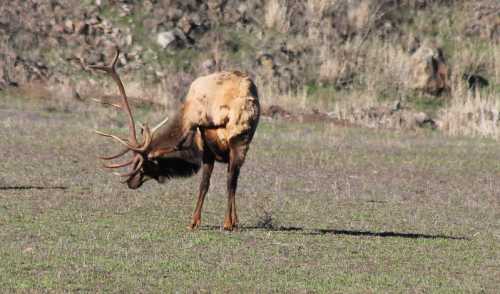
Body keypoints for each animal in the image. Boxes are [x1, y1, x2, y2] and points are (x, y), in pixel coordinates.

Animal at [89, 49, 260, 231]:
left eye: (143, 166)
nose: (130, 183)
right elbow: (214, 183)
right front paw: (233, 221)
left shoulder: (202, 142)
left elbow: (204, 183)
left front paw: (194, 221)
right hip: (242, 140)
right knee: (232, 180)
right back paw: (231, 221)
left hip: (225, 140)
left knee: (223, 181)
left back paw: (226, 222)